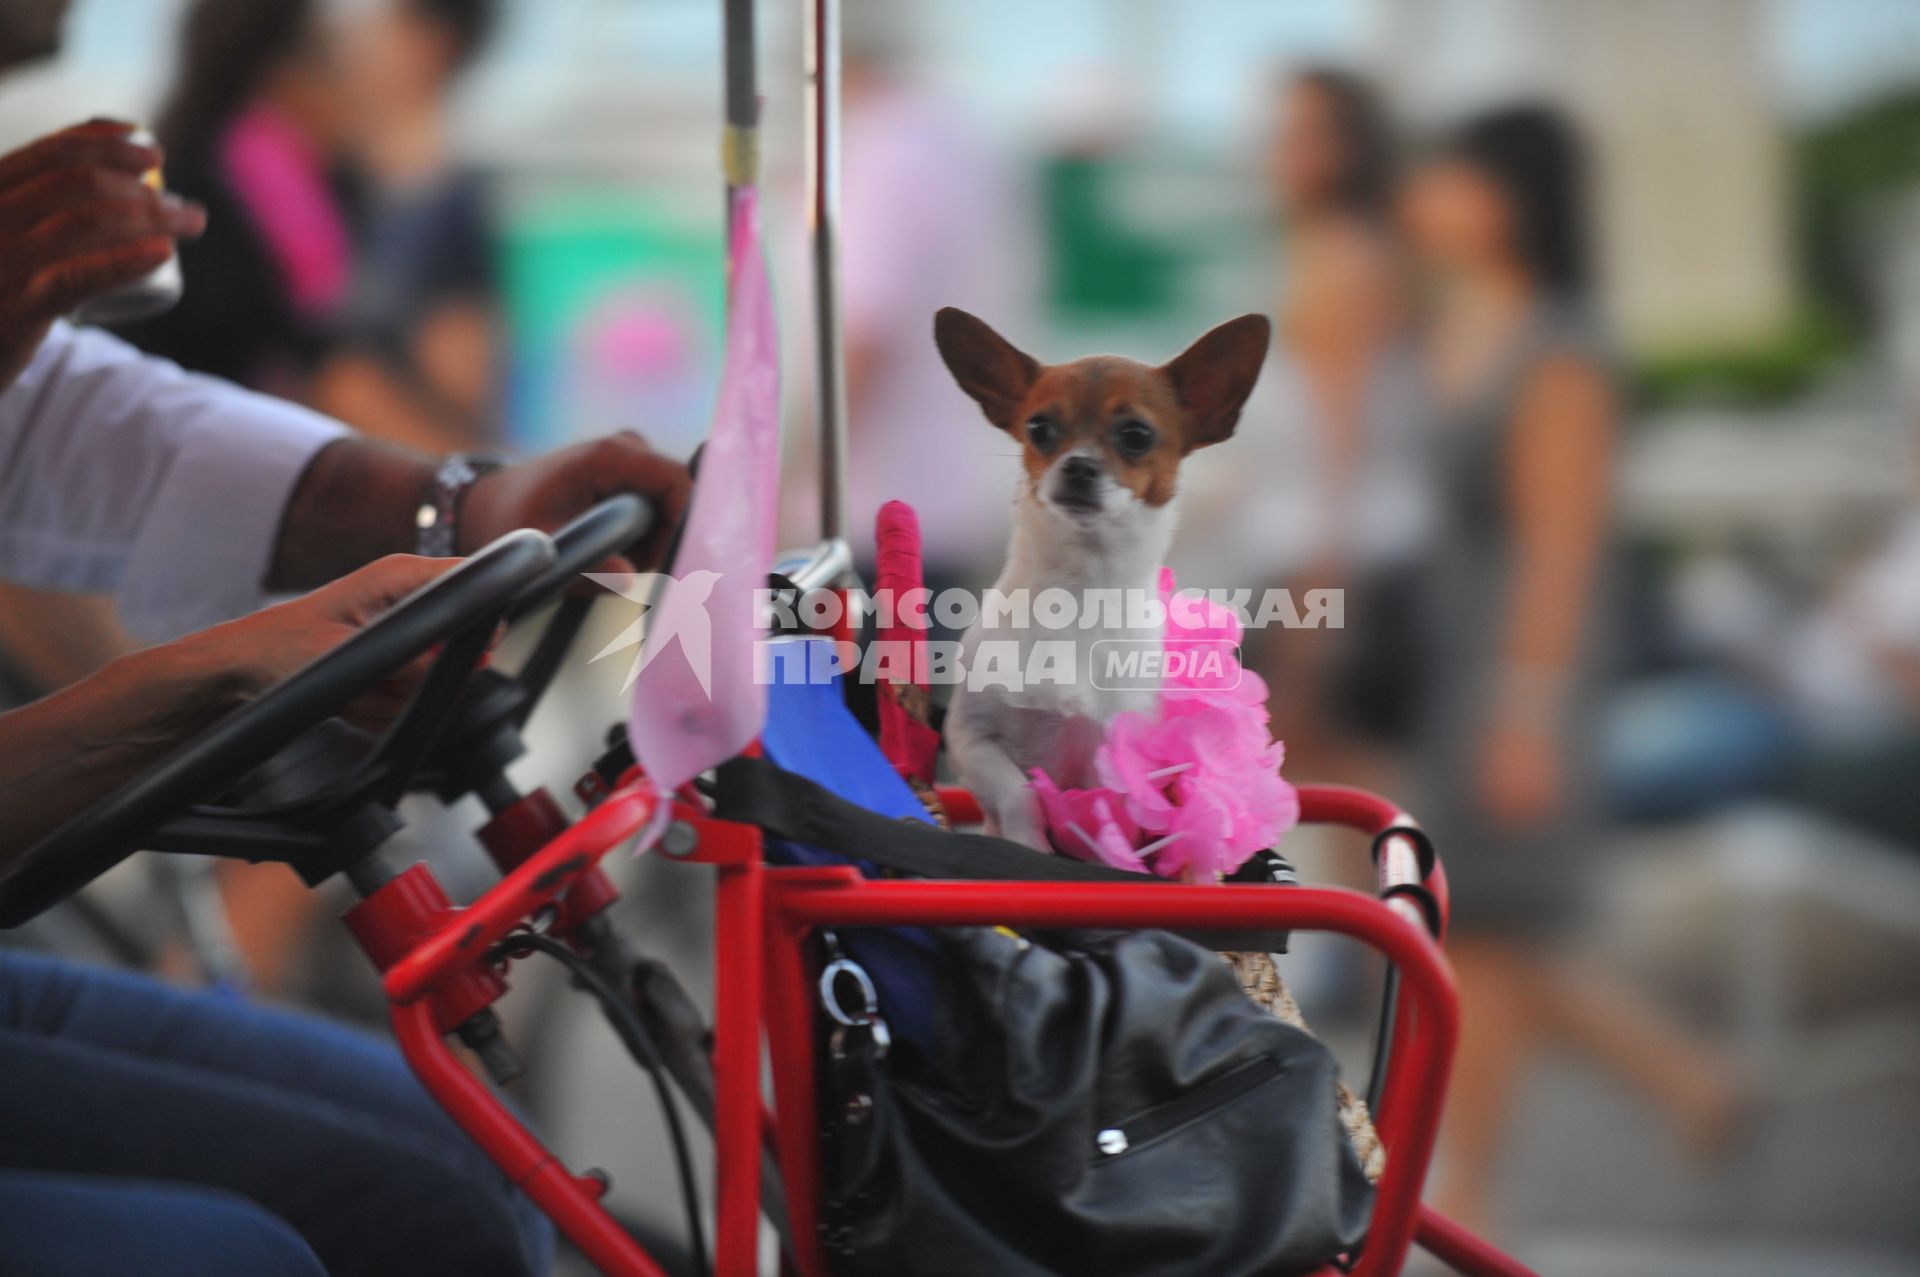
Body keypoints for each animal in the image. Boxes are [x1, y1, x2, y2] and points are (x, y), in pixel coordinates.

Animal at [933, 307, 1267, 844]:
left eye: (1136, 436)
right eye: (1039, 427)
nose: (1079, 466)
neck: (1080, 590)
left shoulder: (1114, 761)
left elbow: (1107, 816)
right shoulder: (972, 739)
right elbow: (1020, 794)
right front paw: (1029, 844)